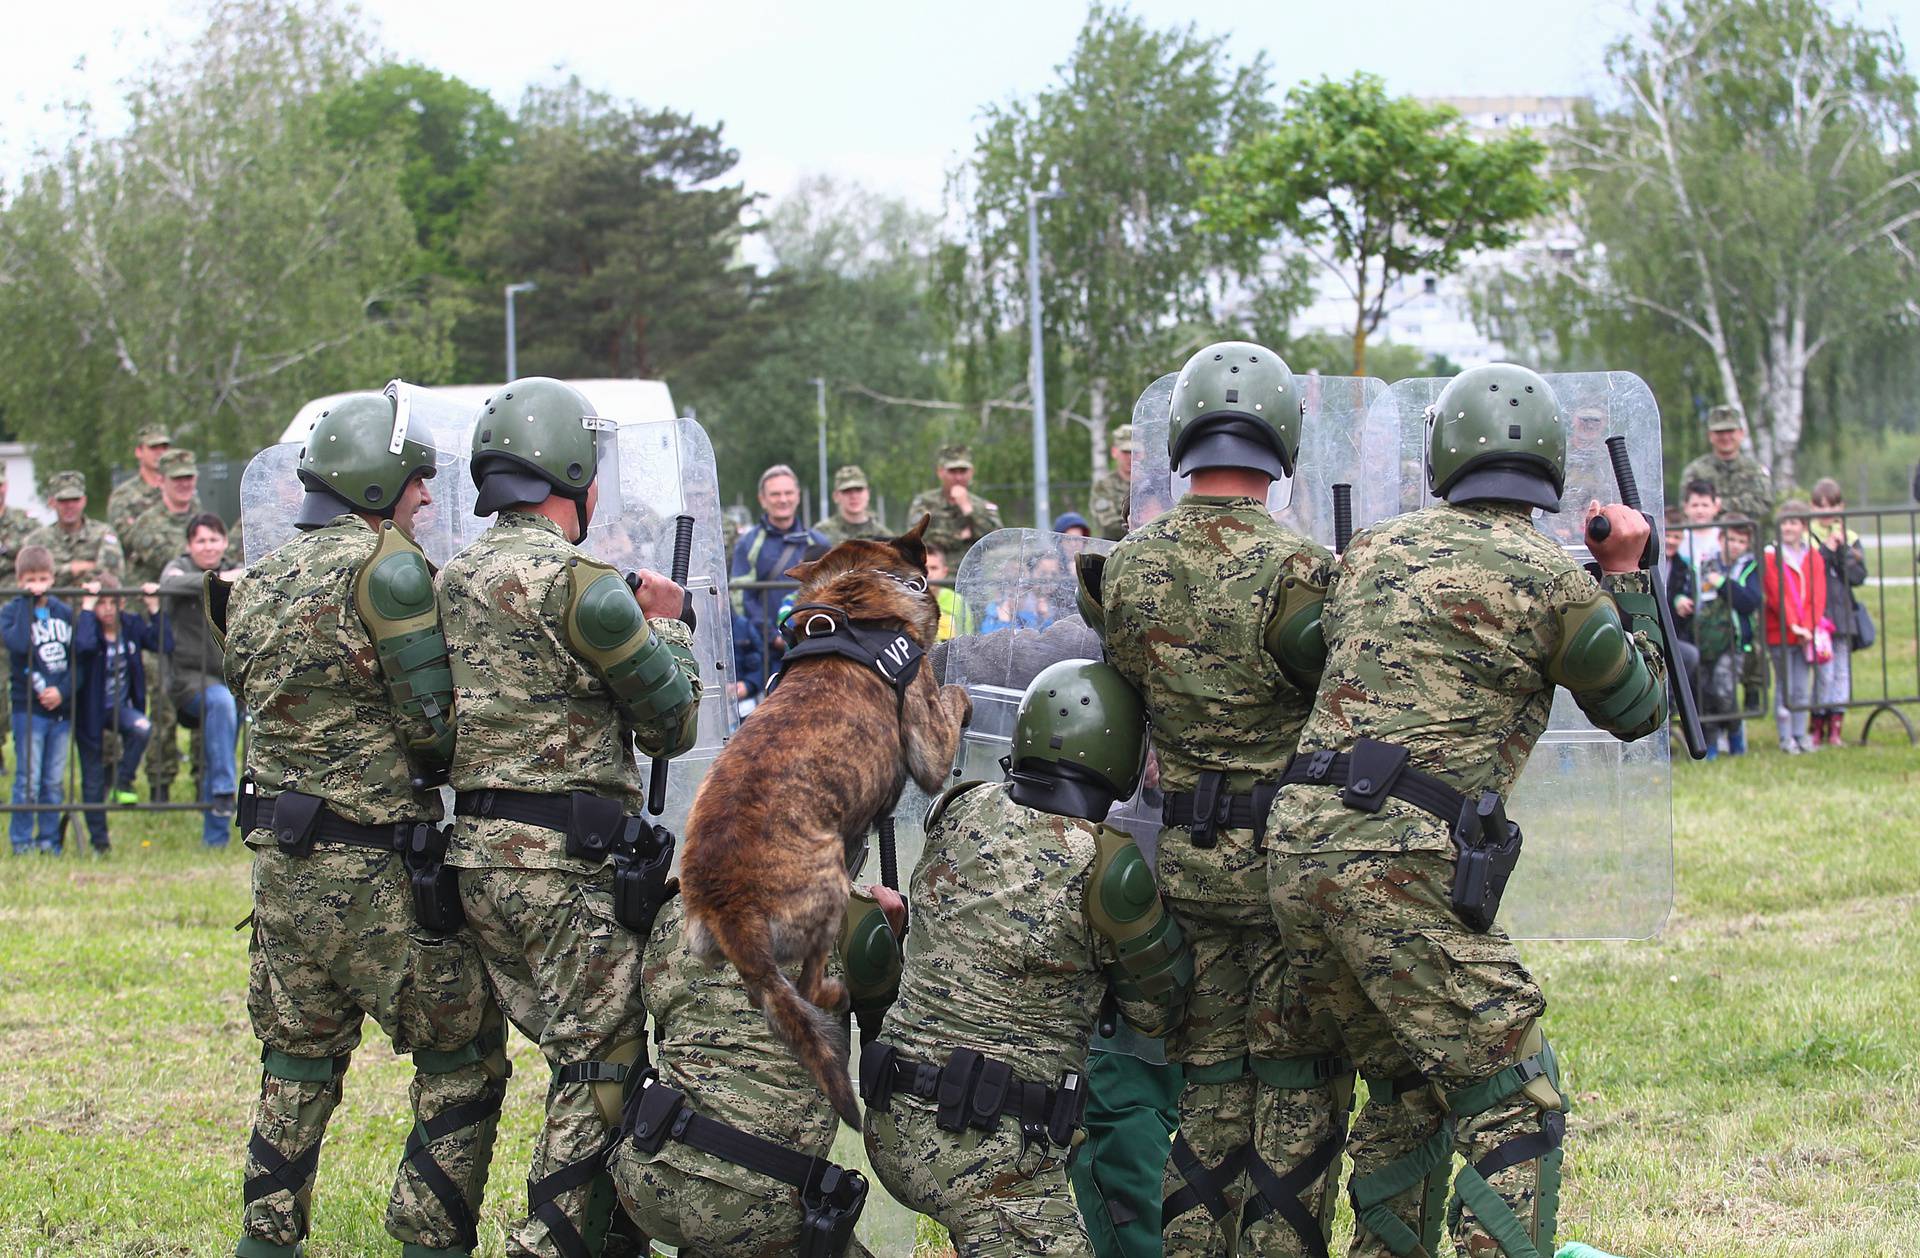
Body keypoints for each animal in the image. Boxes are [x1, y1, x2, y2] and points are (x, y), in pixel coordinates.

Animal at [679, 518, 975, 1129]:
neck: (855, 598)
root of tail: (728, 907)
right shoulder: (928, 742)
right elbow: (953, 697)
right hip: (831, 890)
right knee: (810, 986)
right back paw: (839, 995)